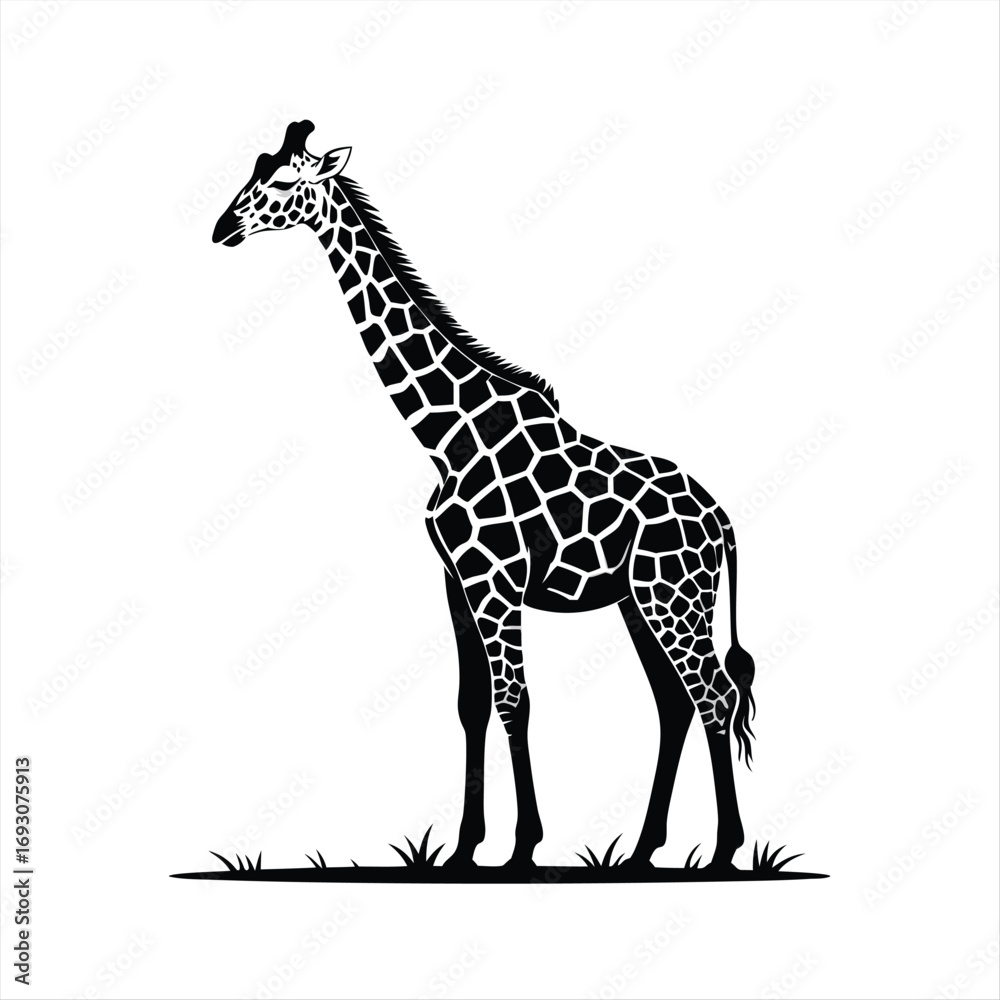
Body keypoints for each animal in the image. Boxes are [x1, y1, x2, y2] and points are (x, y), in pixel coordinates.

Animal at [213, 121, 757, 871]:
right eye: (254, 169)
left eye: (286, 181)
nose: (221, 228)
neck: (446, 434)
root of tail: (723, 520)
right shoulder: (455, 579)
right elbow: (472, 704)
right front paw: (464, 848)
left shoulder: (496, 582)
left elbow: (514, 702)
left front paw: (523, 847)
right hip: (639, 600)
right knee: (675, 703)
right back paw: (646, 850)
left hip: (671, 595)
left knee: (714, 694)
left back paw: (726, 849)